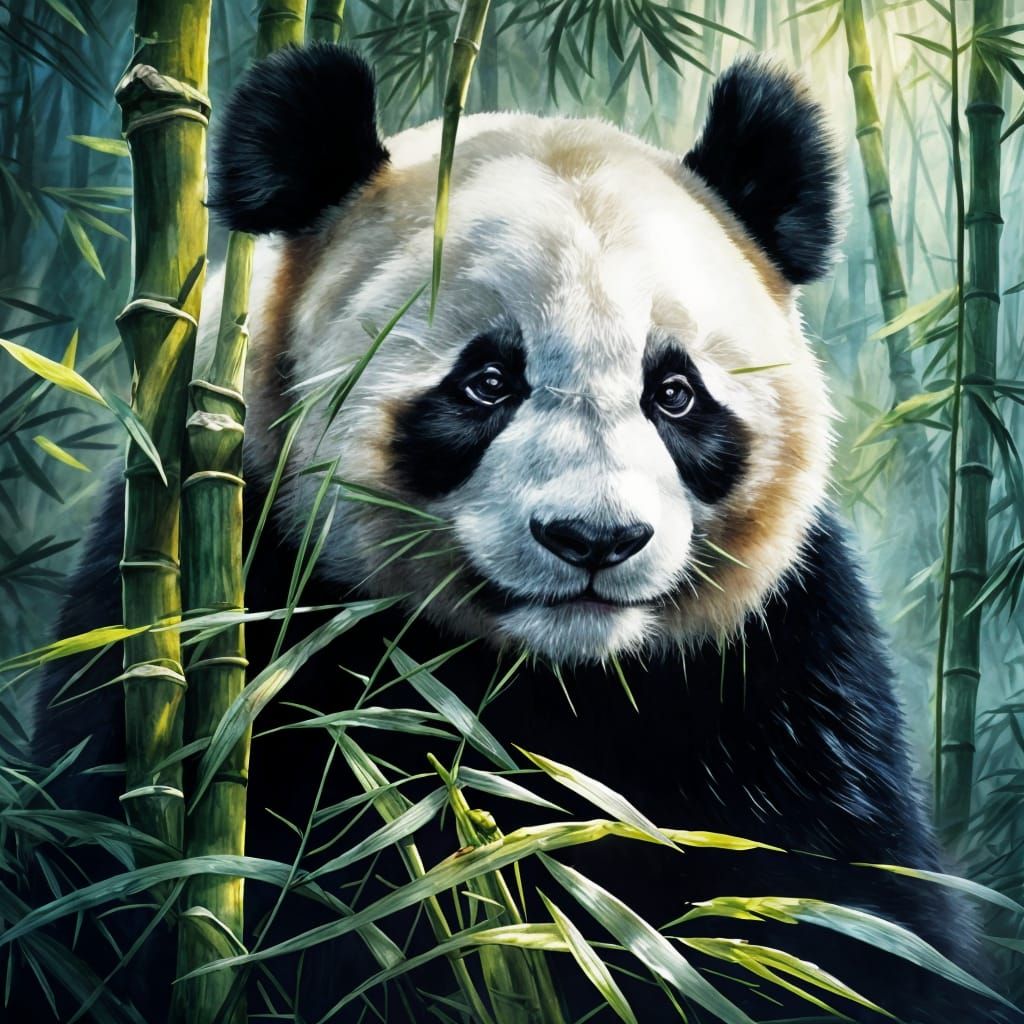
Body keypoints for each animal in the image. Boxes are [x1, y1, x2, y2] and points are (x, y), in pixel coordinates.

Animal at [23, 42, 1012, 1024]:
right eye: (487, 382)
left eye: (674, 392)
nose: (594, 539)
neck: (552, 680)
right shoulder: (228, 598)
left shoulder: (787, 673)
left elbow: (852, 916)